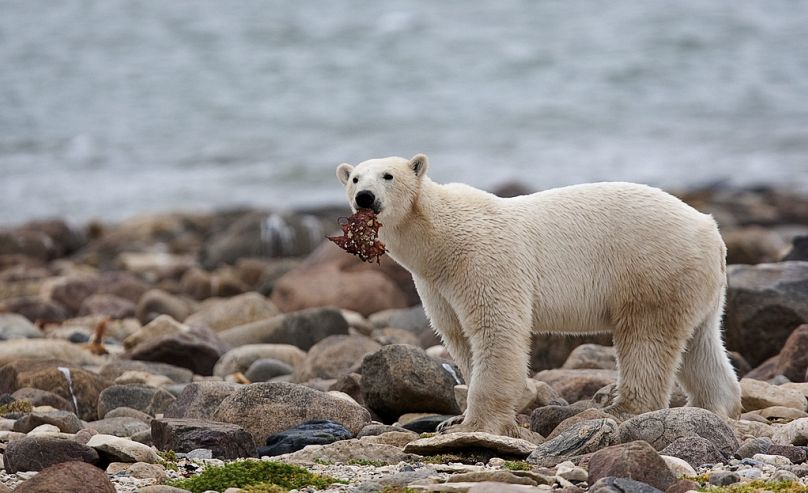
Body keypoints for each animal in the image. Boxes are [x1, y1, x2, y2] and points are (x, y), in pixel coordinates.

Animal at [336, 154, 744, 438]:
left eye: (388, 175)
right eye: (355, 177)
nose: (365, 197)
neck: (439, 238)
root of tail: (710, 229)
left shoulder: (482, 260)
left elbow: (496, 329)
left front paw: (474, 424)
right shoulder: (435, 284)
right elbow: (458, 336)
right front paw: (453, 419)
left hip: (652, 268)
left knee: (646, 338)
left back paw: (621, 410)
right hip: (695, 284)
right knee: (701, 344)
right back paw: (714, 407)